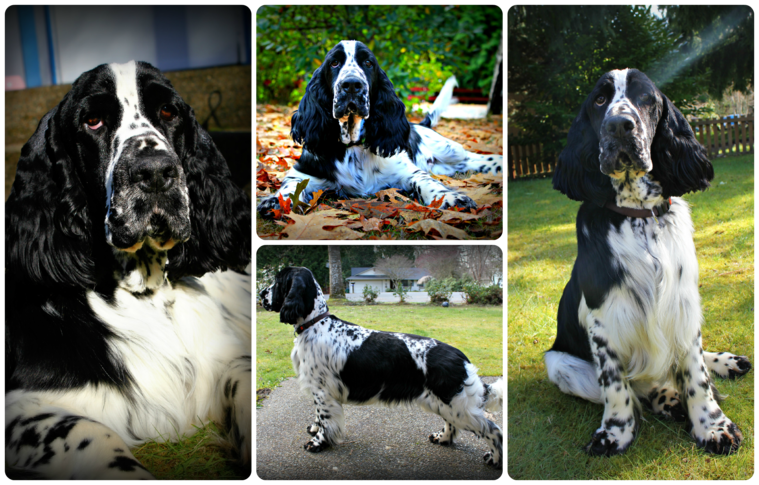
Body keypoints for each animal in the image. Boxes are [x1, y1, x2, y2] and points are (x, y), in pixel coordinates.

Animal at [260, 266, 504, 466]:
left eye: (278, 281)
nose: (260, 293)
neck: (315, 323)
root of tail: (462, 358)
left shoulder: (322, 392)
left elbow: (325, 420)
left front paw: (317, 442)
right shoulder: (319, 391)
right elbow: (318, 418)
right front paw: (314, 429)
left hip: (456, 405)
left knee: (493, 430)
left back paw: (494, 458)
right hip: (445, 402)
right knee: (452, 425)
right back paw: (441, 438)